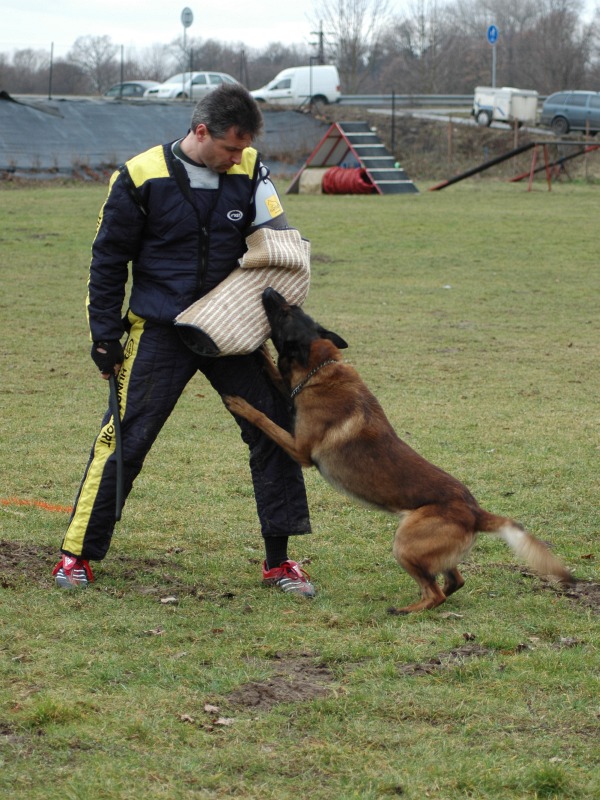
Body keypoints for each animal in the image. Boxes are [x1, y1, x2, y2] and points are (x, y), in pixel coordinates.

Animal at [224, 288, 572, 612]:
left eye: (285, 312)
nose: (268, 290)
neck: (321, 368)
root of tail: (476, 512)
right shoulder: (293, 392)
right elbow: (274, 373)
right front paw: (260, 353)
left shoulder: (299, 449)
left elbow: (264, 418)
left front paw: (239, 402)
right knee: (453, 581)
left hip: (404, 543)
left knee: (436, 593)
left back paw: (404, 610)